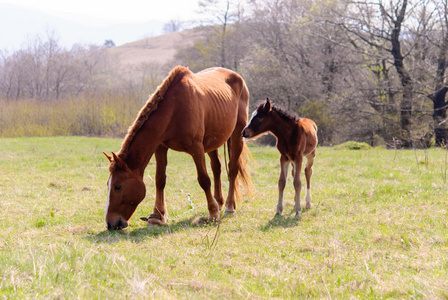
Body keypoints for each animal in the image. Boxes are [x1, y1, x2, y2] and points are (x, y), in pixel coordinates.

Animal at [104, 65, 252, 230]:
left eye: (118, 186)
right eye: (108, 185)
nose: (110, 223)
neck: (175, 109)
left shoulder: (197, 149)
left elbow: (204, 180)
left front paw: (213, 214)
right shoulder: (160, 147)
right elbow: (160, 180)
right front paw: (157, 216)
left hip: (237, 135)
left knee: (232, 169)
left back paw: (228, 207)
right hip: (213, 141)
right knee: (217, 168)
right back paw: (219, 202)